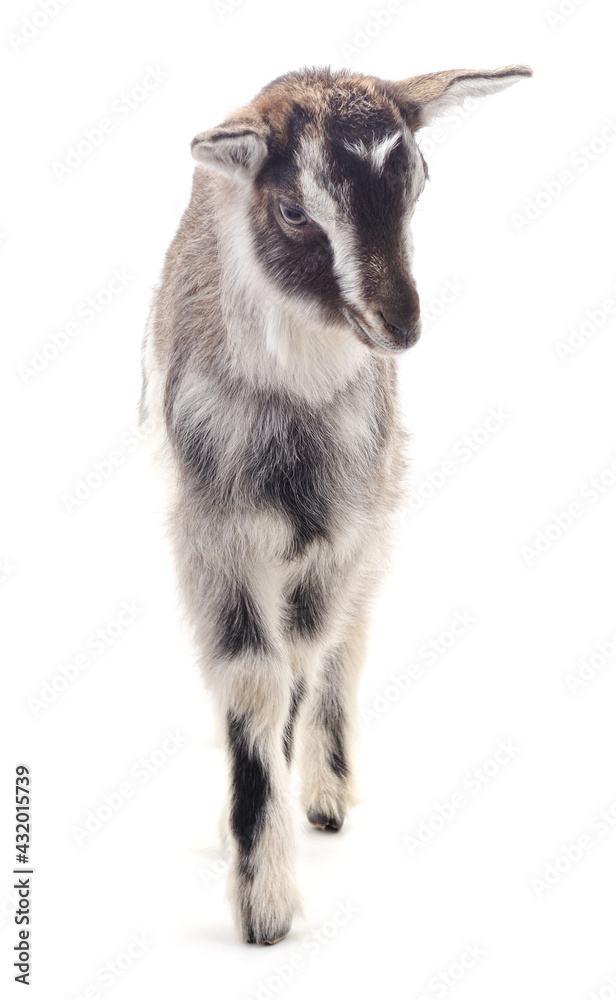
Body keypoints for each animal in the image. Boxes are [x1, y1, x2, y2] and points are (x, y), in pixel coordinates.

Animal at [139, 64, 531, 944]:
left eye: (420, 180)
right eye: (294, 209)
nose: (400, 323)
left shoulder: (343, 531)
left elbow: (300, 663)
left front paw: (268, 869)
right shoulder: (213, 535)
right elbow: (254, 675)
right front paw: (262, 901)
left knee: (345, 641)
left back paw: (326, 793)